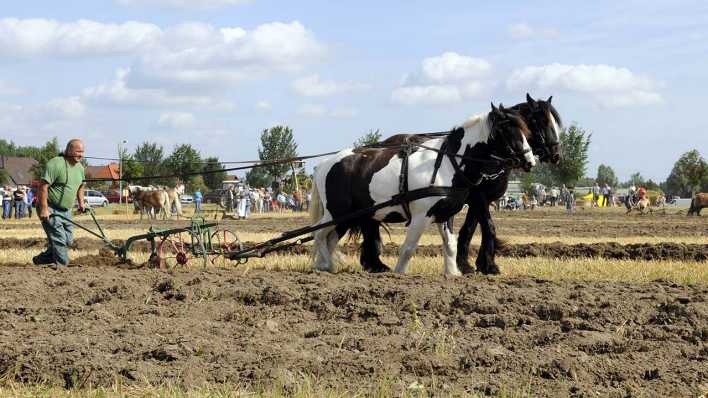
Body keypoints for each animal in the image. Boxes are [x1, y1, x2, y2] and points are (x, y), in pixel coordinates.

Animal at [310, 104, 536, 276]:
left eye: (526, 131)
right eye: (507, 132)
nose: (530, 161)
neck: (448, 162)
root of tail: (323, 165)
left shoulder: (444, 214)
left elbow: (450, 245)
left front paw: (453, 273)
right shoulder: (421, 215)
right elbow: (408, 247)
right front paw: (399, 274)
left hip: (348, 216)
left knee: (329, 239)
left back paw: (324, 266)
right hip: (337, 212)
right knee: (319, 234)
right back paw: (326, 265)